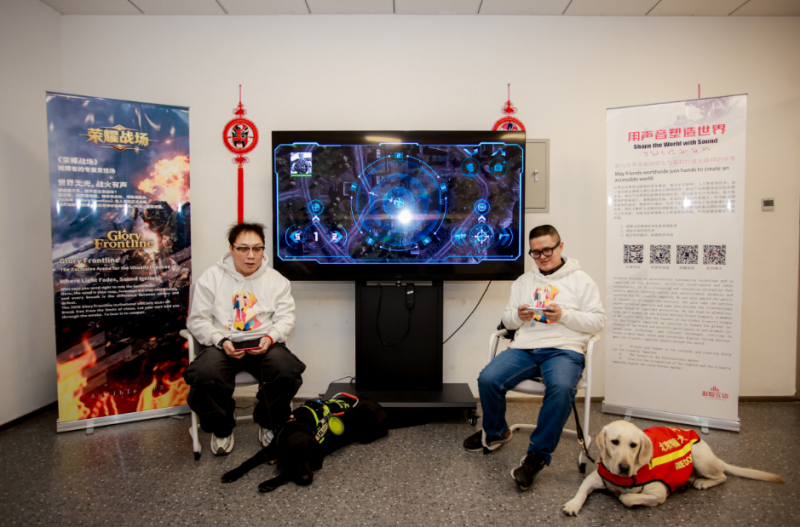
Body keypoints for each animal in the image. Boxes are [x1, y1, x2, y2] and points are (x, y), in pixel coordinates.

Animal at [221, 396, 388, 492]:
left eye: (309, 456)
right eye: (291, 458)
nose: (307, 479)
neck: (298, 424)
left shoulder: (317, 460)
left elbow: (289, 472)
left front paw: (270, 481)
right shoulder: (269, 450)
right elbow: (248, 461)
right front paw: (232, 473)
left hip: (367, 413)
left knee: (382, 432)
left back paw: (367, 437)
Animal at [563, 420, 784, 515]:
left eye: (634, 445)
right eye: (614, 442)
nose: (624, 467)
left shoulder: (659, 492)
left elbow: (627, 497)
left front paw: (628, 497)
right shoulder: (594, 478)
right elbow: (581, 491)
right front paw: (573, 505)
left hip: (700, 456)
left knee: (722, 476)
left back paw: (702, 483)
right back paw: (688, 482)